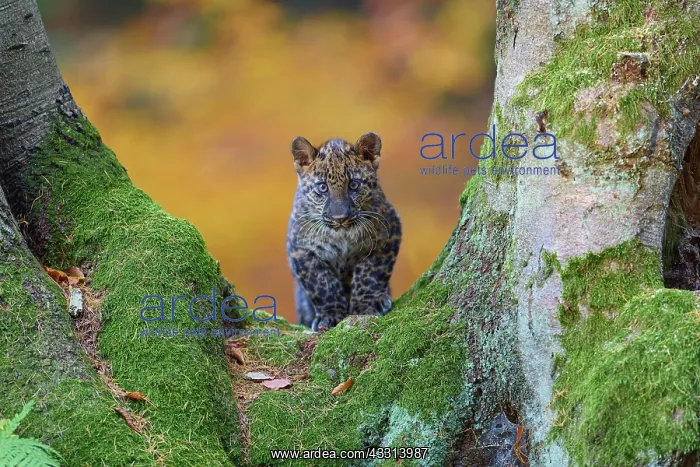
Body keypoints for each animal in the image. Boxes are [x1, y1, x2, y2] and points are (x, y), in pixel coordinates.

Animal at [286, 132, 402, 331]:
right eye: (322, 187)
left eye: (354, 185)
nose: (340, 218)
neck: (341, 235)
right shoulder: (300, 250)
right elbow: (322, 284)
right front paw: (330, 315)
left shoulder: (389, 233)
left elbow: (370, 273)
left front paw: (366, 305)